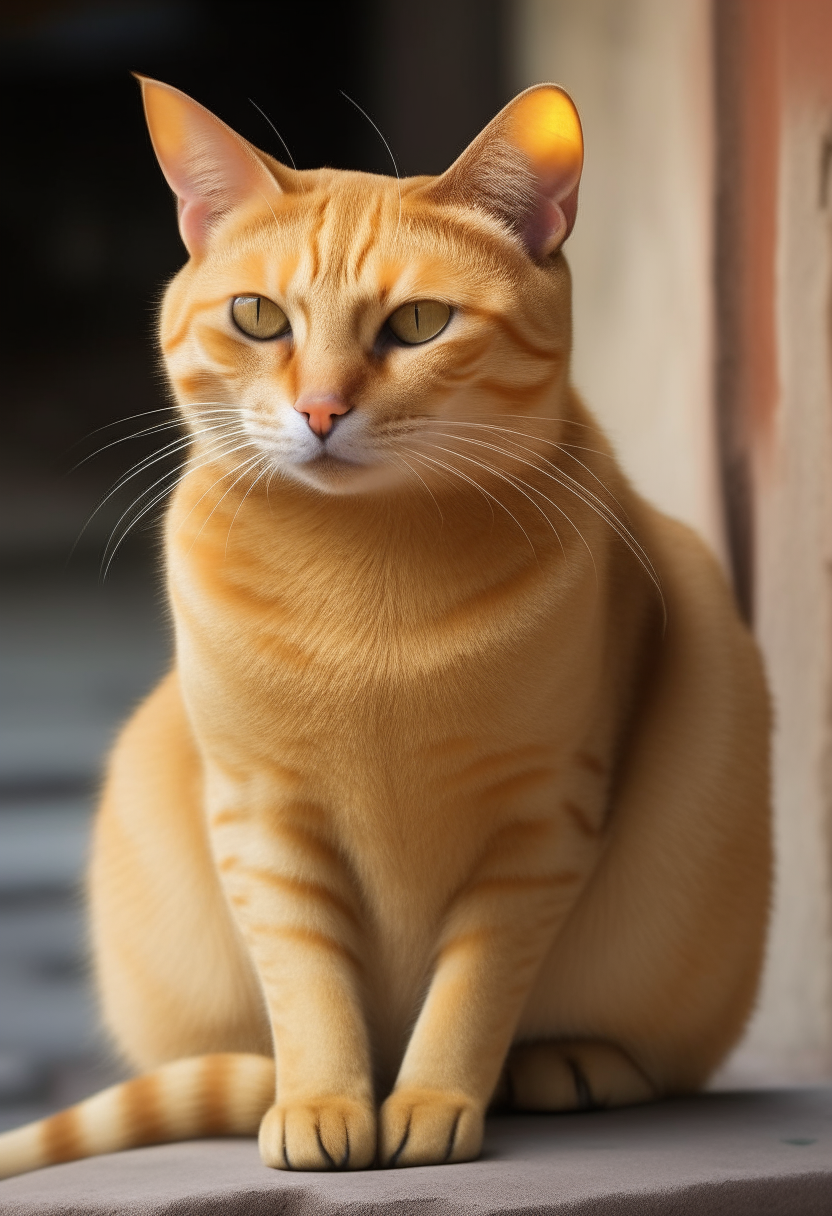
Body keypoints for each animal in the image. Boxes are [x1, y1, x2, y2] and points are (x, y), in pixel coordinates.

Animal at [0, 76, 768, 1177]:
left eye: (418, 322)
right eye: (257, 317)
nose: (320, 410)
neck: (365, 586)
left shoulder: (541, 820)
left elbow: (473, 989)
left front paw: (437, 1101)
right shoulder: (261, 818)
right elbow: (308, 987)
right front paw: (322, 1105)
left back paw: (567, 1063)